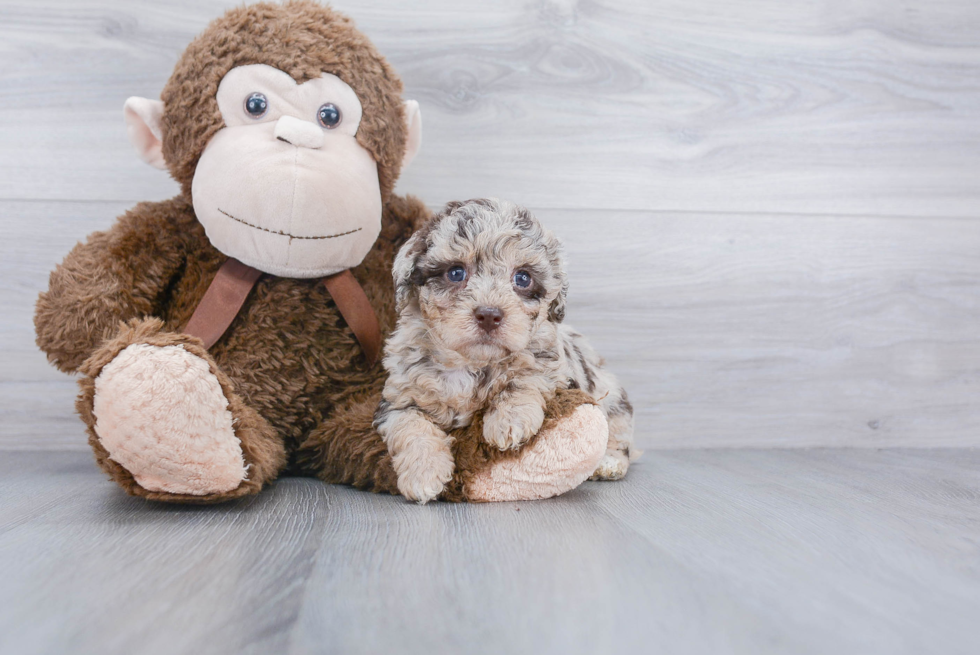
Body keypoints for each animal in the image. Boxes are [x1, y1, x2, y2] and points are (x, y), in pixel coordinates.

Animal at [376, 199, 636, 502]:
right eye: (455, 272)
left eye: (522, 278)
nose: (489, 315)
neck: (471, 363)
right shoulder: (399, 398)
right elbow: (411, 426)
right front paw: (423, 475)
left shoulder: (551, 366)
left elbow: (526, 377)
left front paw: (509, 421)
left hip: (613, 396)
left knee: (620, 436)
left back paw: (609, 462)